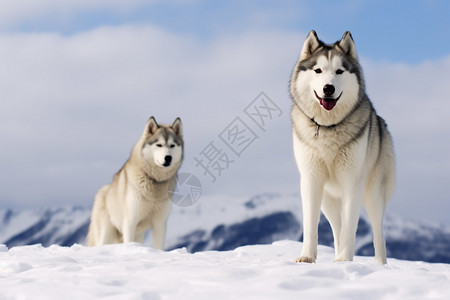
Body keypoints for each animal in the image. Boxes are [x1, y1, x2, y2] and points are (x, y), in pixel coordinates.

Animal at [88, 116, 183, 248]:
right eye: (159, 145)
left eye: (172, 145)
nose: (168, 158)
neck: (154, 181)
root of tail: (103, 190)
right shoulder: (130, 221)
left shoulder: (160, 223)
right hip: (106, 234)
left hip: (138, 236)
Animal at [292, 31, 394, 264]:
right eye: (318, 70)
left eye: (339, 71)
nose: (328, 88)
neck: (328, 128)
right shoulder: (311, 180)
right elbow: (311, 225)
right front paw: (307, 257)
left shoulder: (352, 181)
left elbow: (350, 227)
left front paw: (344, 261)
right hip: (328, 200)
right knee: (337, 228)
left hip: (373, 195)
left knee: (378, 234)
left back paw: (380, 266)